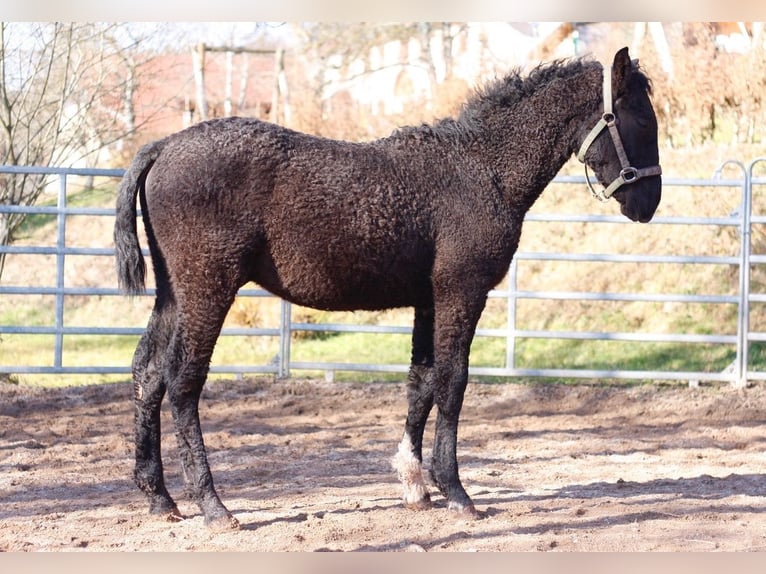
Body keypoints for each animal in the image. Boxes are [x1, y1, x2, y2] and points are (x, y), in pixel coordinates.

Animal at [115, 47, 664, 532]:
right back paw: (213, 506)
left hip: (174, 294)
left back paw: (160, 498)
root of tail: (164, 147)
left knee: (147, 373)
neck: (482, 169)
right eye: (640, 119)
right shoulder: (462, 293)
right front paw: (455, 491)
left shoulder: (428, 300)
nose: (649, 204)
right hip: (207, 290)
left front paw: (414, 484)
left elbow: (421, 383)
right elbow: (453, 382)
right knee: (183, 382)